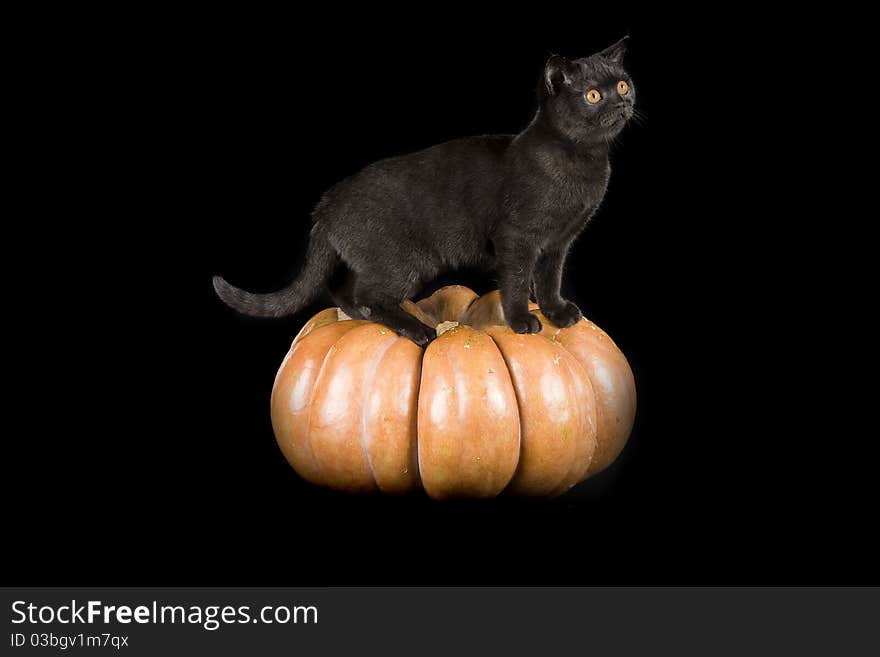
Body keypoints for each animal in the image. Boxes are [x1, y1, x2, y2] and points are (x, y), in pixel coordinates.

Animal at [217, 36, 636, 346]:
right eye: (593, 96)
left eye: (622, 84)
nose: (622, 101)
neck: (583, 161)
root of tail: (328, 202)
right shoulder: (517, 238)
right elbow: (517, 281)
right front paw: (520, 321)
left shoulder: (559, 242)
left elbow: (550, 279)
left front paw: (557, 313)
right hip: (404, 262)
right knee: (369, 296)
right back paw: (416, 330)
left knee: (347, 291)